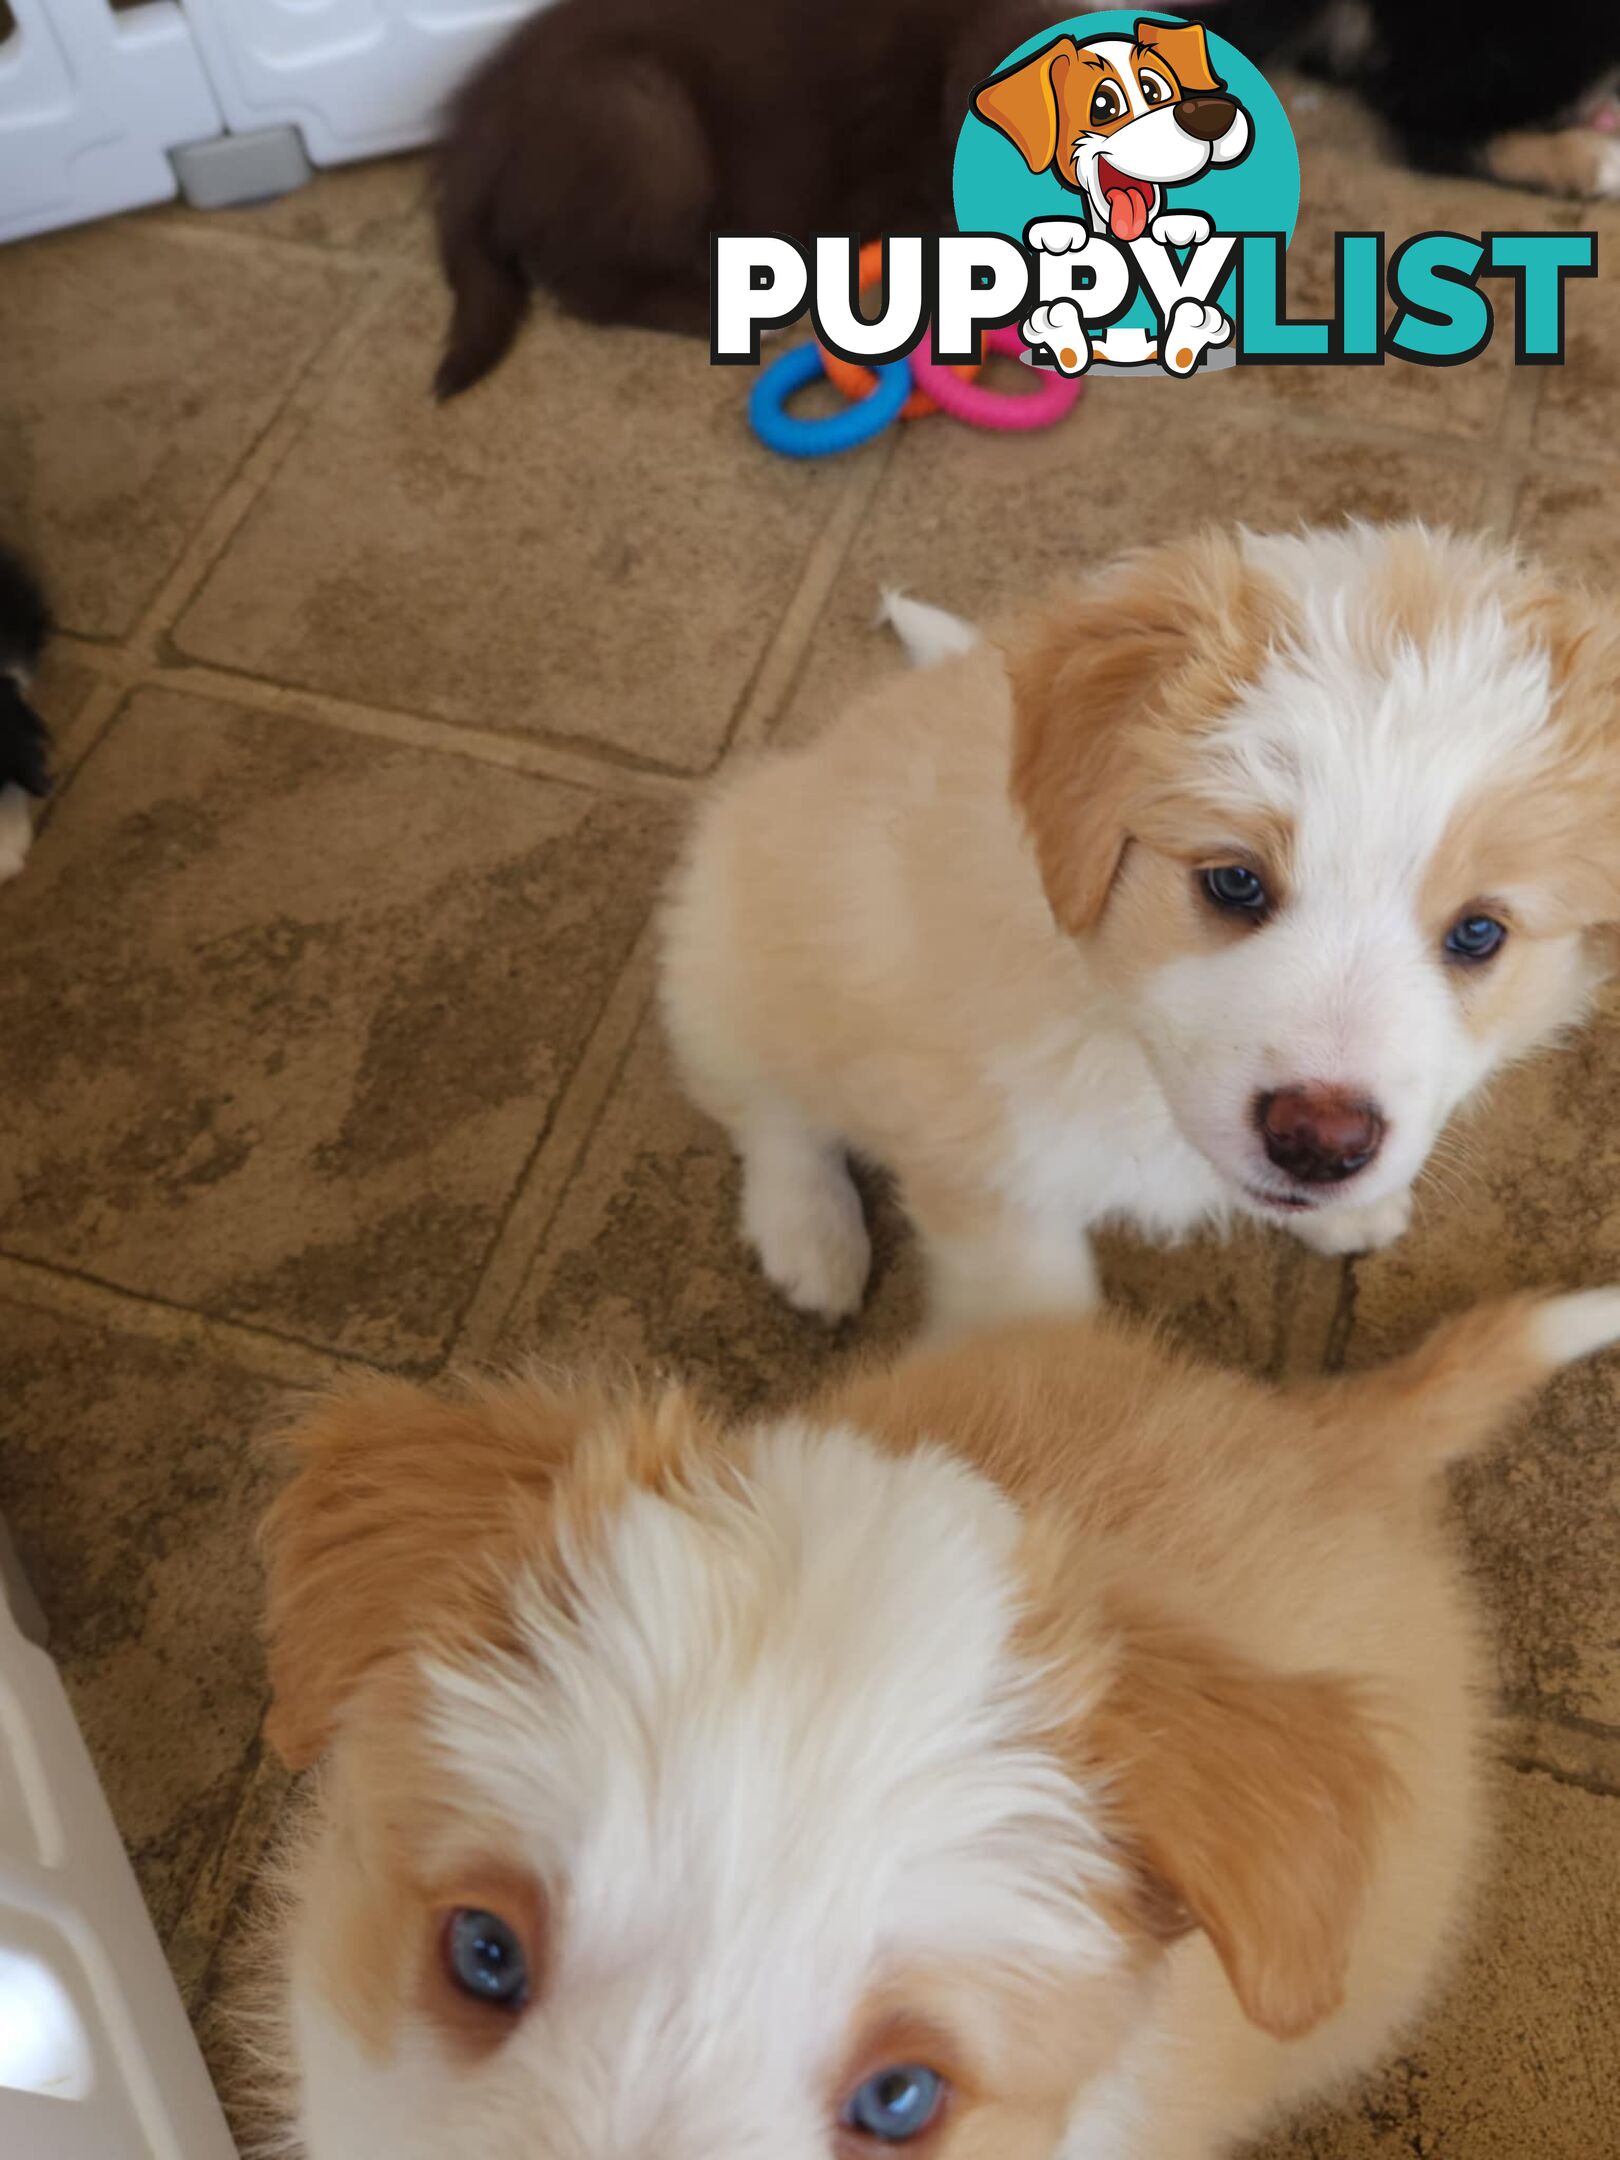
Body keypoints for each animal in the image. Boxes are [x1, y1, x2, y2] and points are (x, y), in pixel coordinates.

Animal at [660, 522, 1620, 1330]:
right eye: (1234, 881)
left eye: (1479, 933)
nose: (1319, 1145)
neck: (1116, 1034)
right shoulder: (992, 1169)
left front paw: (1349, 1212)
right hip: (730, 942)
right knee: (762, 1103)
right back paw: (809, 1240)